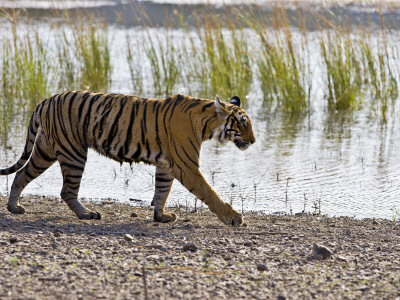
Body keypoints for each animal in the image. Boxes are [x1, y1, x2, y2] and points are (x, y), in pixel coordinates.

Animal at [0, 91, 255, 225]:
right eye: (243, 124)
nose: (253, 141)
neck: (207, 125)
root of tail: (46, 99)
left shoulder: (167, 166)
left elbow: (162, 191)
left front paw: (161, 216)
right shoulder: (186, 166)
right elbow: (210, 193)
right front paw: (233, 217)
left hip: (46, 150)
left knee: (21, 174)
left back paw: (14, 207)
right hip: (73, 153)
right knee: (66, 191)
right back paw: (87, 214)